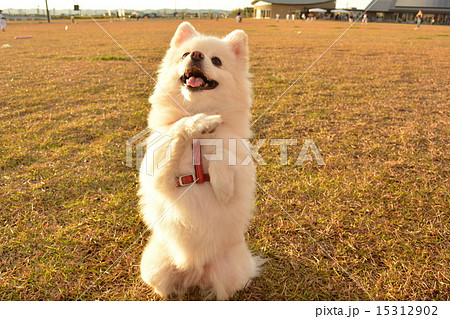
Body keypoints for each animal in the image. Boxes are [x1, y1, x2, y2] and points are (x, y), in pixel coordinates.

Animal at [139, 21, 262, 300]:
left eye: (216, 61)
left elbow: (222, 149)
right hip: (153, 268)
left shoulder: (236, 179)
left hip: (233, 272)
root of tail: (194, 269)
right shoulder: (158, 177)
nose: (196, 55)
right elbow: (179, 127)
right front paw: (201, 122)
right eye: (186, 54)